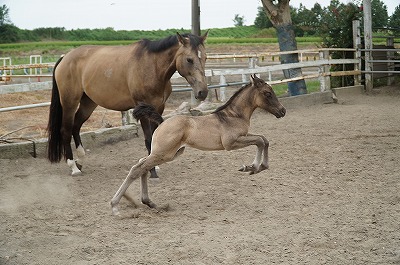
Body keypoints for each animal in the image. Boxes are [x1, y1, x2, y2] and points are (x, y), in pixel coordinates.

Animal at [47, 32, 209, 176]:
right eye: (189, 59)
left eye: (206, 57)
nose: (203, 92)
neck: (152, 66)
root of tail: (65, 57)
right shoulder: (142, 108)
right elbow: (148, 138)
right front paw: (151, 170)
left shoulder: (159, 108)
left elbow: (155, 136)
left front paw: (154, 165)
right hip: (69, 102)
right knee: (66, 130)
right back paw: (73, 167)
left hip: (88, 103)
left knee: (76, 127)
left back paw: (80, 161)